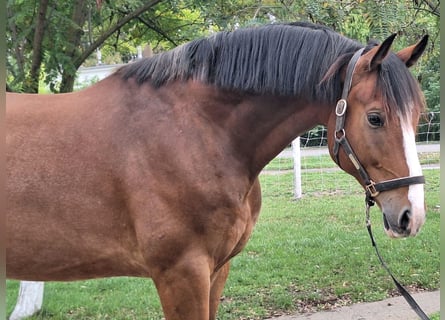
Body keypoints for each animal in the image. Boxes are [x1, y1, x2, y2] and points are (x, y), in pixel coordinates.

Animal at [6, 21, 426, 318]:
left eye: (418, 116)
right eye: (375, 118)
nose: (412, 215)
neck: (196, 132)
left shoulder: (216, 270)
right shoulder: (181, 274)